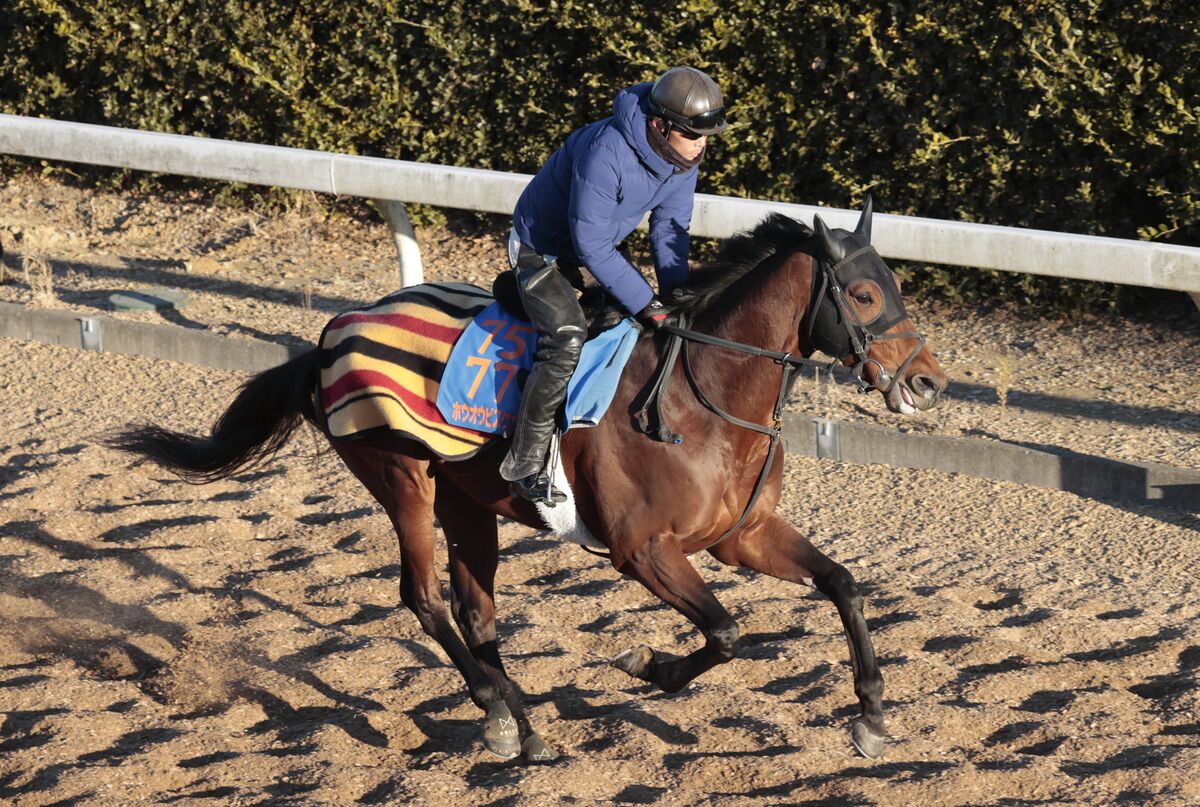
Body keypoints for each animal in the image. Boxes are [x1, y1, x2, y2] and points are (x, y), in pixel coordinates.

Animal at [105, 200, 945, 763]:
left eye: (894, 285)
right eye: (864, 293)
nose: (929, 380)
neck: (699, 394)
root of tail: (331, 334)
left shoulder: (741, 534)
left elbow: (842, 583)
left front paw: (871, 713)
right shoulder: (642, 550)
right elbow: (727, 631)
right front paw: (652, 663)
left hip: (465, 499)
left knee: (477, 612)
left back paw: (516, 722)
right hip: (401, 477)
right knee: (424, 597)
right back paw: (503, 713)